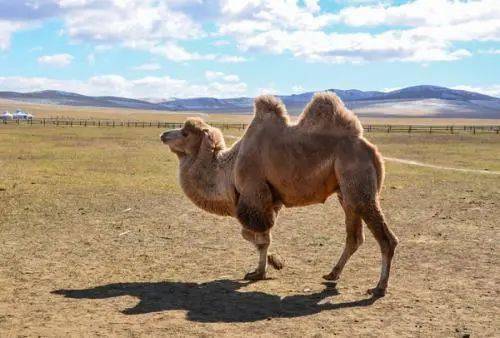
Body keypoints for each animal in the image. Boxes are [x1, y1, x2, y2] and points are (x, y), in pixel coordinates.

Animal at [162, 92, 400, 296]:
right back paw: (332, 274)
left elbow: (256, 236)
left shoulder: (254, 194)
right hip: (345, 194)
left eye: (185, 133)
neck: (229, 168)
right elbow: (257, 236)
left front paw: (265, 269)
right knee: (354, 237)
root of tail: (372, 151)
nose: (164, 134)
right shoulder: (270, 201)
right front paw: (270, 264)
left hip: (358, 185)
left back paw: (379, 287)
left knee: (385, 238)